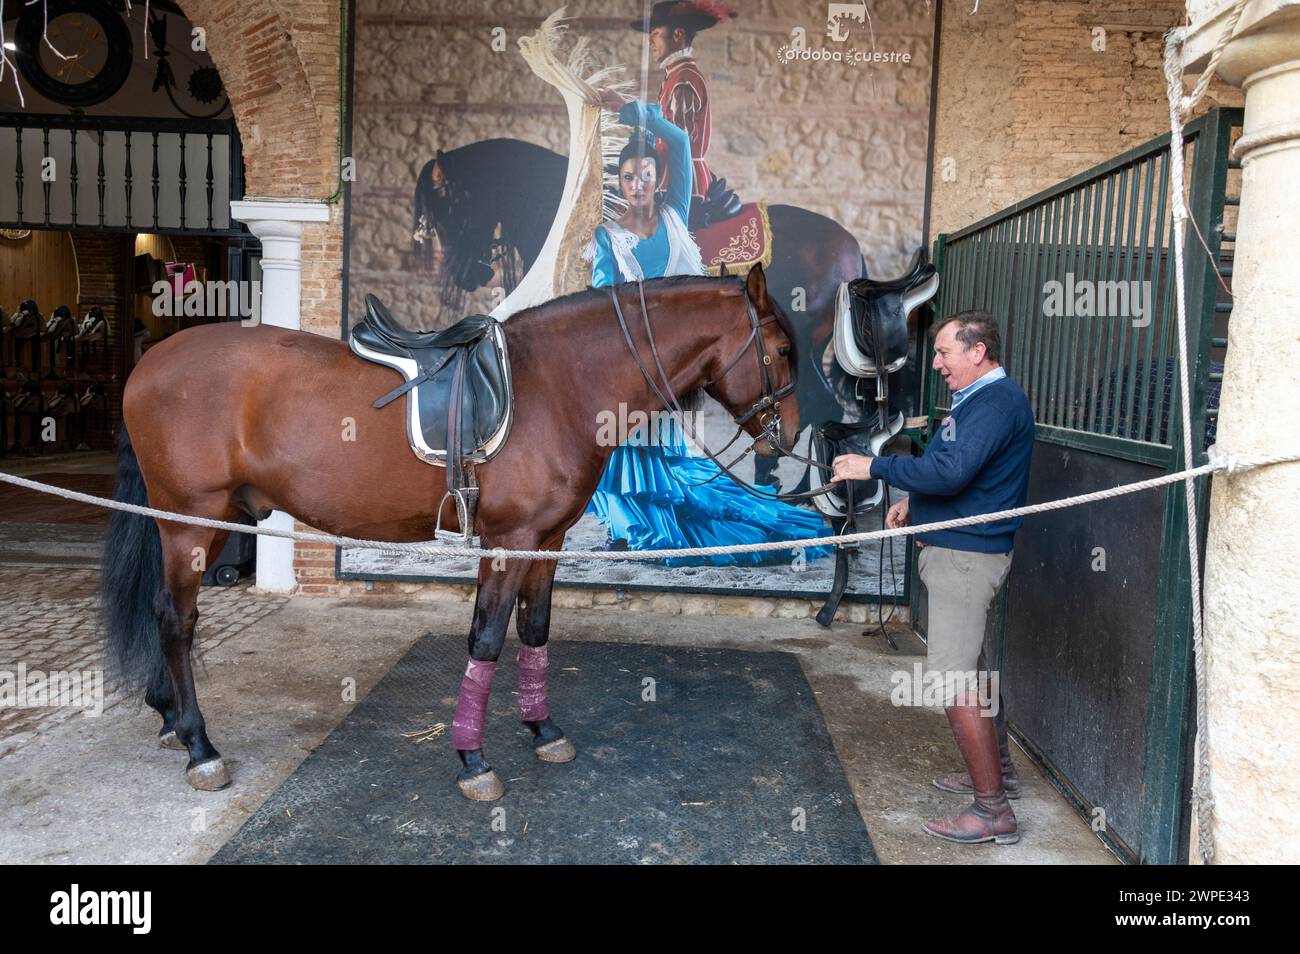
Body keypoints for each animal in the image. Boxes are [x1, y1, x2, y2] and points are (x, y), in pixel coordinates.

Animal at [96, 261, 795, 800]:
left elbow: (534, 630)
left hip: (194, 521)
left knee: (163, 610)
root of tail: (149, 364)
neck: (558, 384)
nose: (785, 436)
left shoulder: (548, 541)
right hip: (189, 521)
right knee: (175, 618)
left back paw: (171, 718)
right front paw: (473, 761)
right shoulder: (509, 539)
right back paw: (201, 746)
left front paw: (544, 731)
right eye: (784, 350)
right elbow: (486, 638)